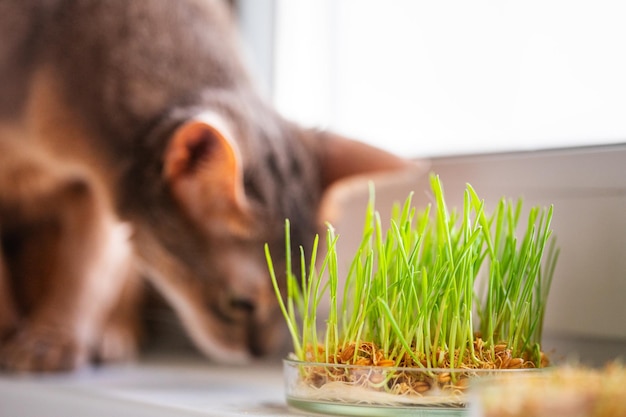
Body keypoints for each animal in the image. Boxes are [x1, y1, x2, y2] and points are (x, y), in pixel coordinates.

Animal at [0, 0, 420, 370]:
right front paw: (31, 340)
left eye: (297, 293)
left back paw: (114, 334)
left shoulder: (98, 194)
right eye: (240, 304)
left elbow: (86, 269)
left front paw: (52, 340)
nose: (260, 353)